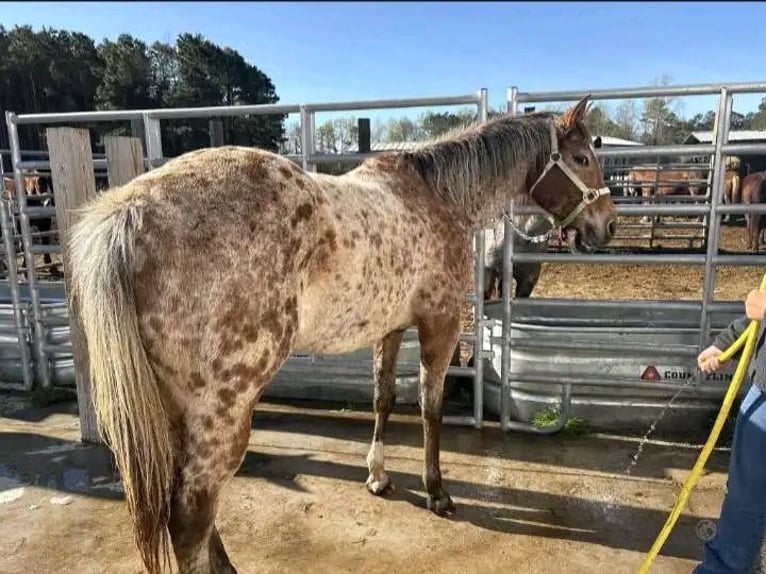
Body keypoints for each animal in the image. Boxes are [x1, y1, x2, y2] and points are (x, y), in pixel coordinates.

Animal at [66, 96, 617, 574]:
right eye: (582, 158)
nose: (607, 226)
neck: (439, 197)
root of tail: (129, 212)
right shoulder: (439, 325)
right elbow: (430, 408)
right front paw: (436, 491)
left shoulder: (390, 328)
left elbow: (383, 399)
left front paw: (377, 476)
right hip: (223, 410)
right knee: (190, 514)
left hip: (175, 412)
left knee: (187, 509)